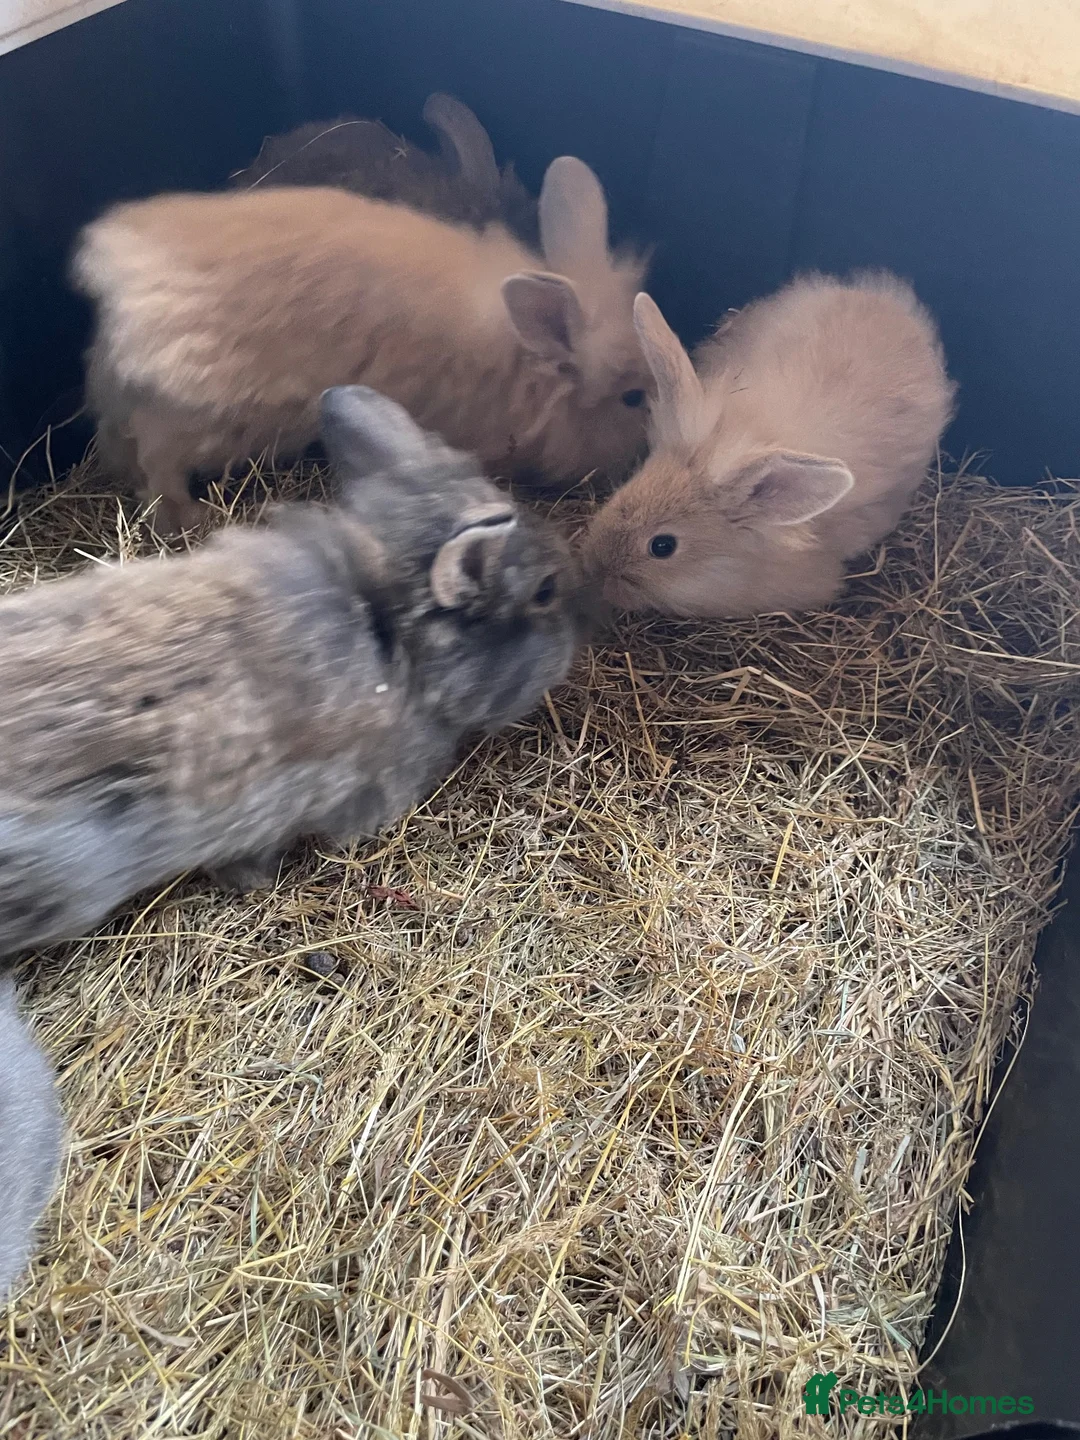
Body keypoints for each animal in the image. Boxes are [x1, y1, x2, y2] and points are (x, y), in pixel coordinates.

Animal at [72, 156, 651, 534]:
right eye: (634, 398)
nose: (639, 456)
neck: (521, 360)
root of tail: (115, 276)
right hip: (199, 418)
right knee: (156, 460)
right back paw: (188, 518)